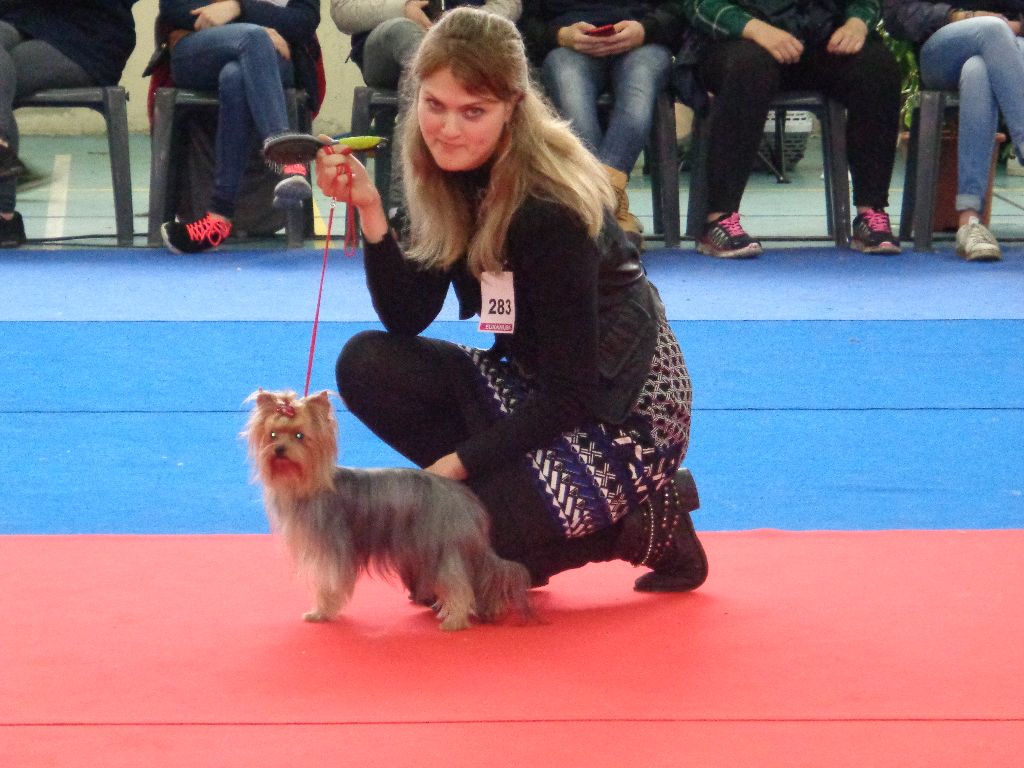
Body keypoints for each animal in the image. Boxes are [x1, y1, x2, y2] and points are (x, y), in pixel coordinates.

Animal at [243, 391, 532, 630]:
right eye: (272, 435)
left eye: (300, 436)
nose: (279, 450)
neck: (305, 484)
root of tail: (462, 497)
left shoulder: (331, 551)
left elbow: (329, 584)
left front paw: (321, 612)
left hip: (442, 547)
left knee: (458, 584)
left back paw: (454, 621)